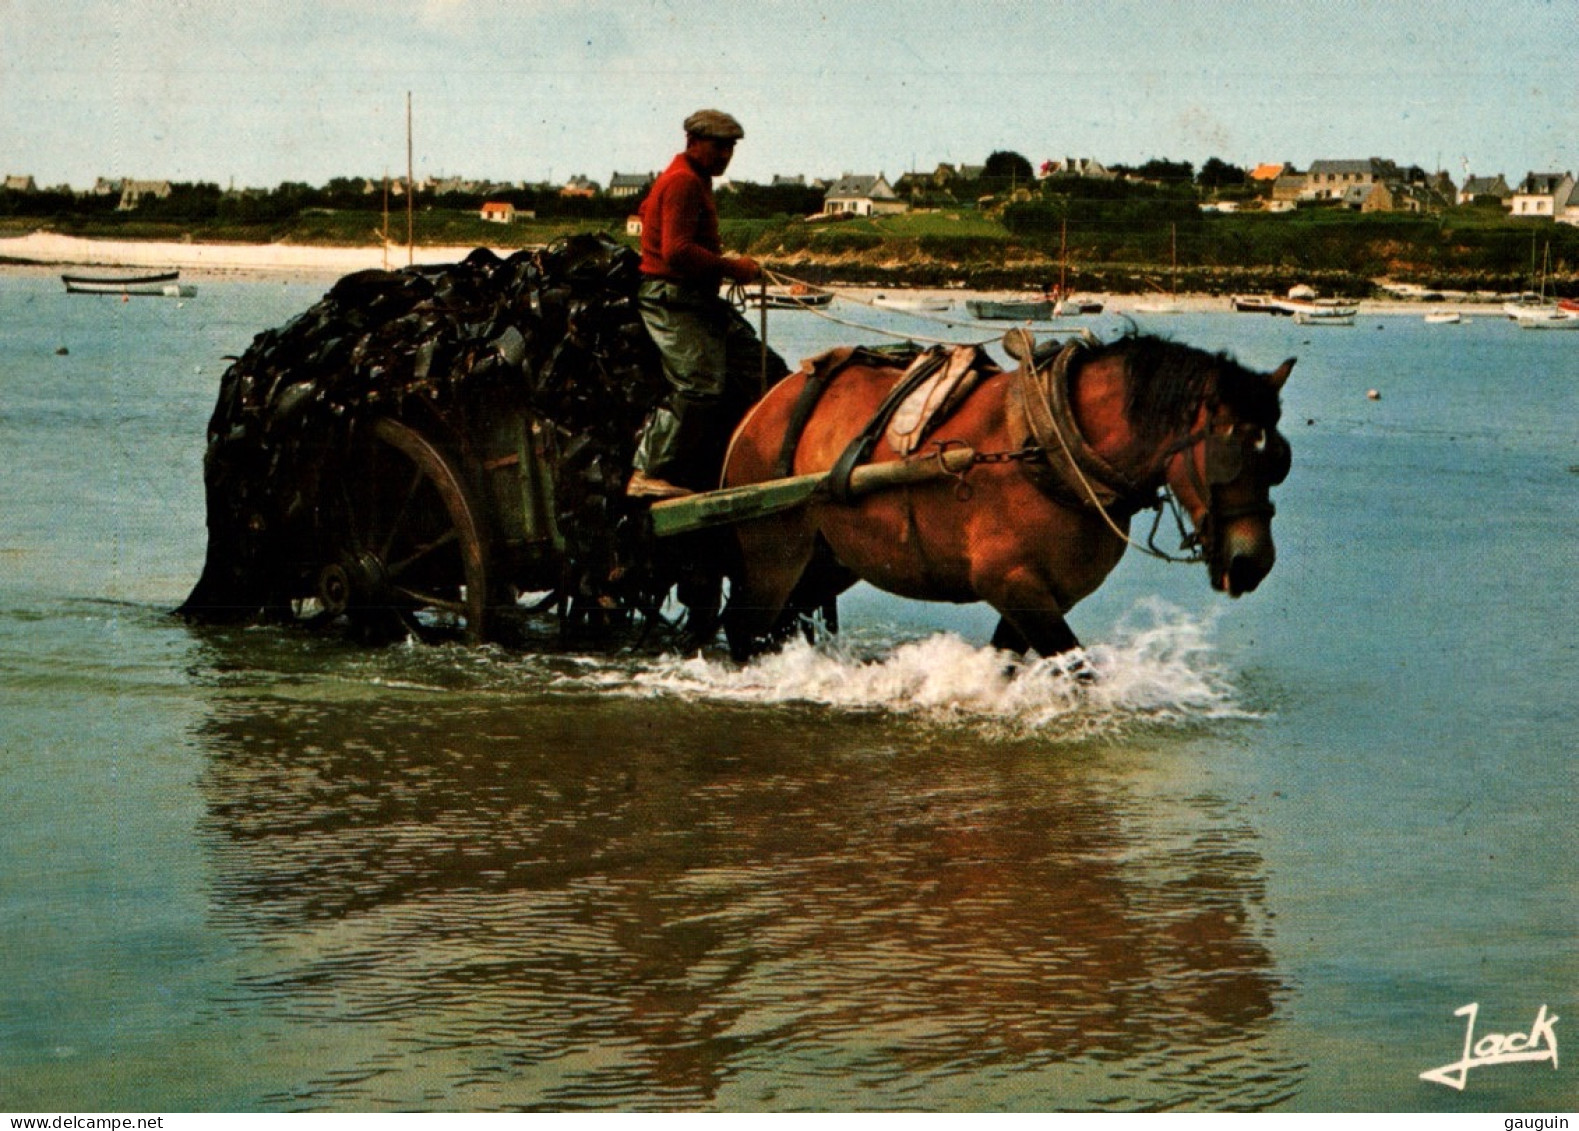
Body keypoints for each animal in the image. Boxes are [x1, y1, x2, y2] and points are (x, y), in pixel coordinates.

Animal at [723, 331, 1288, 657]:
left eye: (1279, 459)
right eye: (1229, 455)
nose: (1254, 563)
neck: (1051, 443)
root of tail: (765, 405)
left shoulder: (1039, 597)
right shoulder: (1011, 584)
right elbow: (1077, 671)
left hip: (828, 559)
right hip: (771, 554)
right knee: (744, 629)